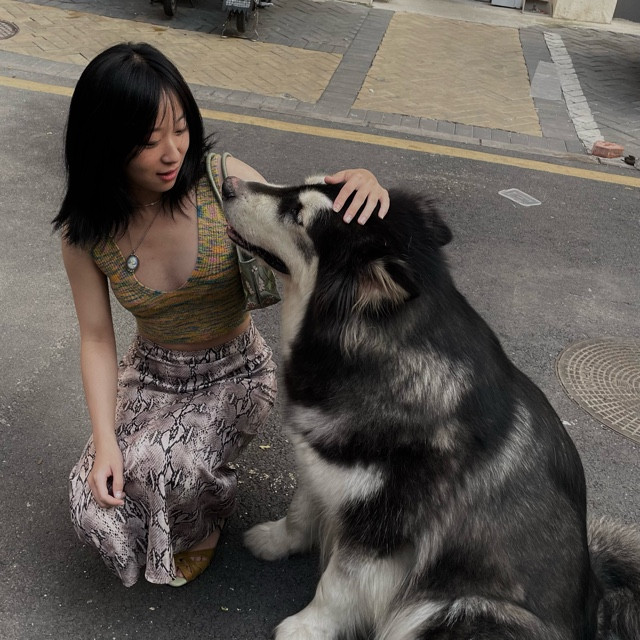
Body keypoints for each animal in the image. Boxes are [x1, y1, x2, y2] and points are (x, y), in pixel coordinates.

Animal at [221, 176, 640, 640]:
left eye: (297, 212)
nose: (228, 182)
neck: (377, 352)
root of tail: (596, 604)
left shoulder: (383, 526)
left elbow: (338, 582)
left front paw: (306, 627)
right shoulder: (324, 469)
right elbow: (300, 510)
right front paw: (275, 540)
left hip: (454, 610)